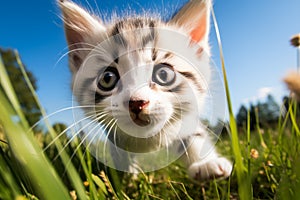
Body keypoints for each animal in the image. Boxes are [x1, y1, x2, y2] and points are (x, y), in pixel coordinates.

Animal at [58, 0, 232, 181]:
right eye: (107, 78)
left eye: (163, 74)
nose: (136, 103)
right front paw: (128, 179)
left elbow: (194, 136)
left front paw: (206, 164)